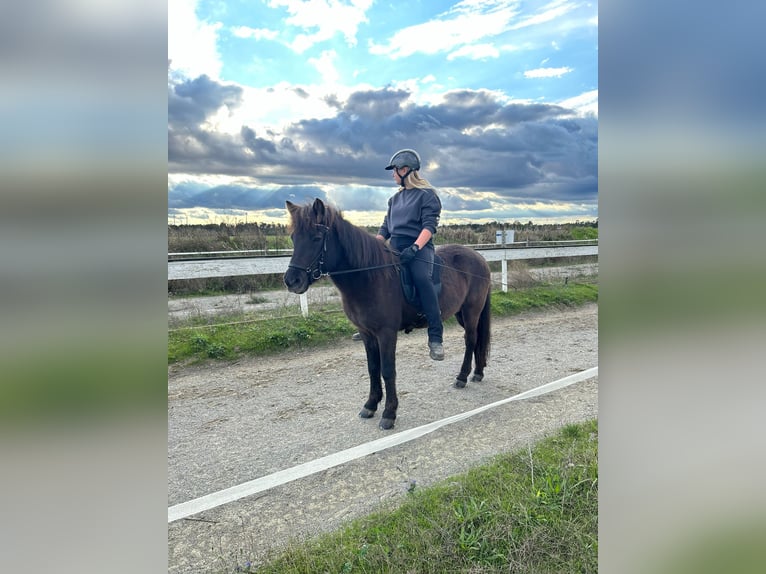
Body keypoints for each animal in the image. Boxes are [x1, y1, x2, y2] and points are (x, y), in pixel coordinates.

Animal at [284, 200, 492, 430]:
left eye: (317, 238)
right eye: (294, 238)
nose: (292, 281)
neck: (369, 276)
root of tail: (479, 258)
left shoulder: (386, 333)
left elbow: (387, 370)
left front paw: (389, 413)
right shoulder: (366, 333)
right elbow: (373, 369)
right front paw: (370, 405)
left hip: (471, 311)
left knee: (470, 340)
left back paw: (462, 377)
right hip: (461, 314)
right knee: (476, 340)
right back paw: (478, 372)